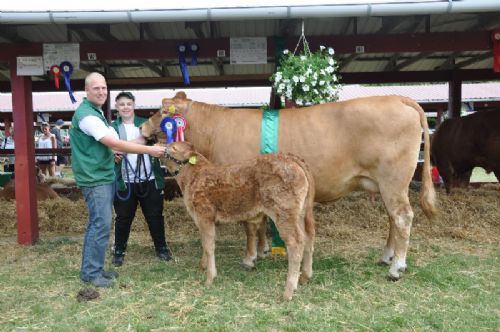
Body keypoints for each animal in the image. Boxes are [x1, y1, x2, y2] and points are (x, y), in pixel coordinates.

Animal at [141, 91, 438, 280]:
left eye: (161, 111)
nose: (142, 128)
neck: (215, 132)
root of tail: (397, 98)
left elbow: (249, 225)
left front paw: (249, 258)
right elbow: (259, 222)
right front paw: (261, 251)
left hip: (393, 181)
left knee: (403, 217)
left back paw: (396, 267)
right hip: (388, 185)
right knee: (393, 218)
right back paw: (387, 257)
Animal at [162, 141, 314, 300]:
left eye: (173, 147)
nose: (159, 145)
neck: (193, 177)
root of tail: (291, 158)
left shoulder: (205, 215)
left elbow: (209, 246)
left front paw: (209, 278)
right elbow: (205, 244)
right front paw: (203, 266)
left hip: (284, 211)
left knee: (296, 242)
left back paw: (288, 291)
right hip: (301, 212)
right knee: (308, 236)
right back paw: (304, 277)